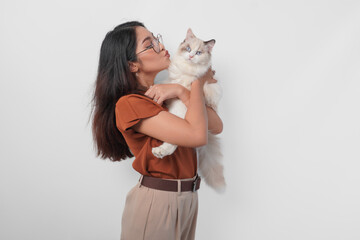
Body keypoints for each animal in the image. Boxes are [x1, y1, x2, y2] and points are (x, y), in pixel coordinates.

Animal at [151, 27, 225, 193]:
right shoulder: (172, 78)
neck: (187, 70)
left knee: (173, 142)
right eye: (188, 49)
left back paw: (160, 152)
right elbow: (167, 82)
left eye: (198, 52)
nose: (191, 56)